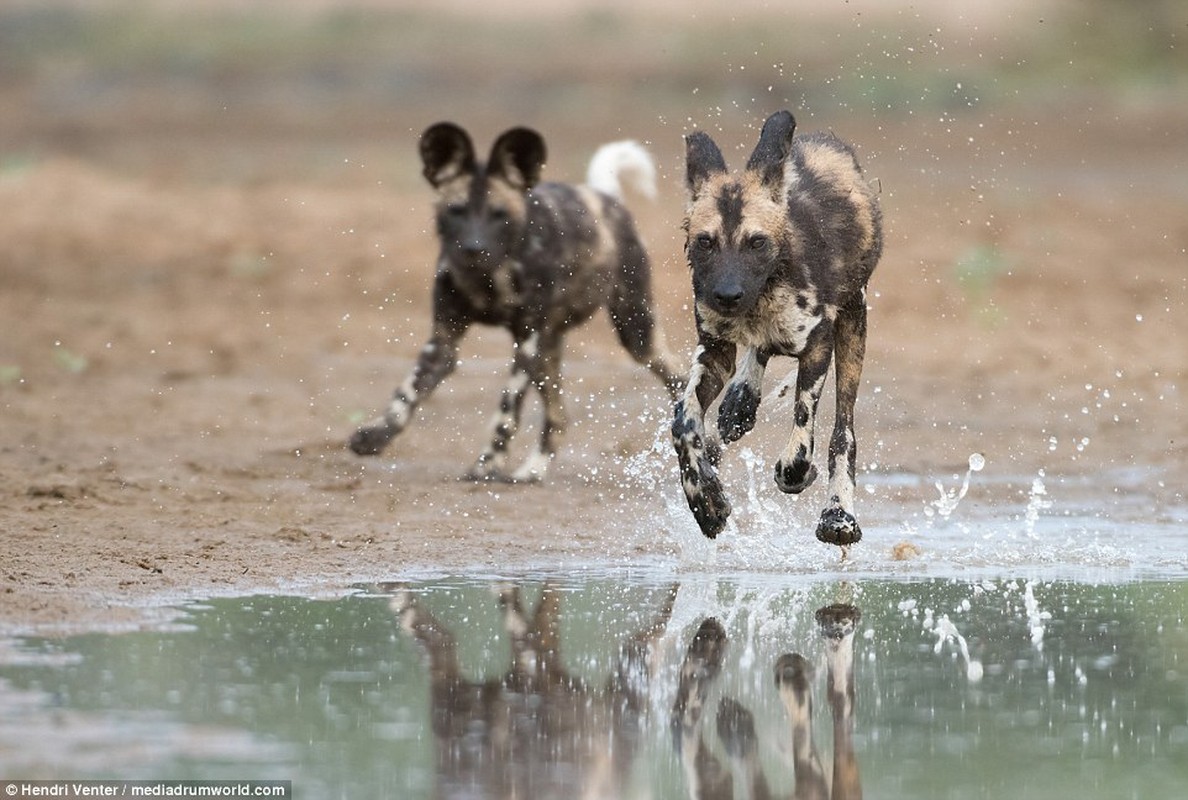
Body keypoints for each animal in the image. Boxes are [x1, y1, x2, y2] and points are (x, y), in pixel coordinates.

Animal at [346, 120, 684, 480]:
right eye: (456, 211)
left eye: (499, 214)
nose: (474, 249)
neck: (487, 278)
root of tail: (605, 197)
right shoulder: (443, 341)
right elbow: (406, 394)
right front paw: (375, 436)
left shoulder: (525, 343)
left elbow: (506, 411)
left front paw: (487, 464)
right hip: (548, 353)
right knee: (558, 418)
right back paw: (531, 472)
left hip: (635, 333)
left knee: (676, 378)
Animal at [670, 110, 883, 542]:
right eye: (705, 242)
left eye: (757, 242)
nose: (727, 295)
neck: (760, 299)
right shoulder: (715, 350)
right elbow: (684, 422)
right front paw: (707, 503)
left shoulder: (818, 344)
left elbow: (802, 440)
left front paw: (794, 475)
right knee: (760, 354)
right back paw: (740, 401)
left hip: (852, 326)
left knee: (843, 432)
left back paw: (838, 515)